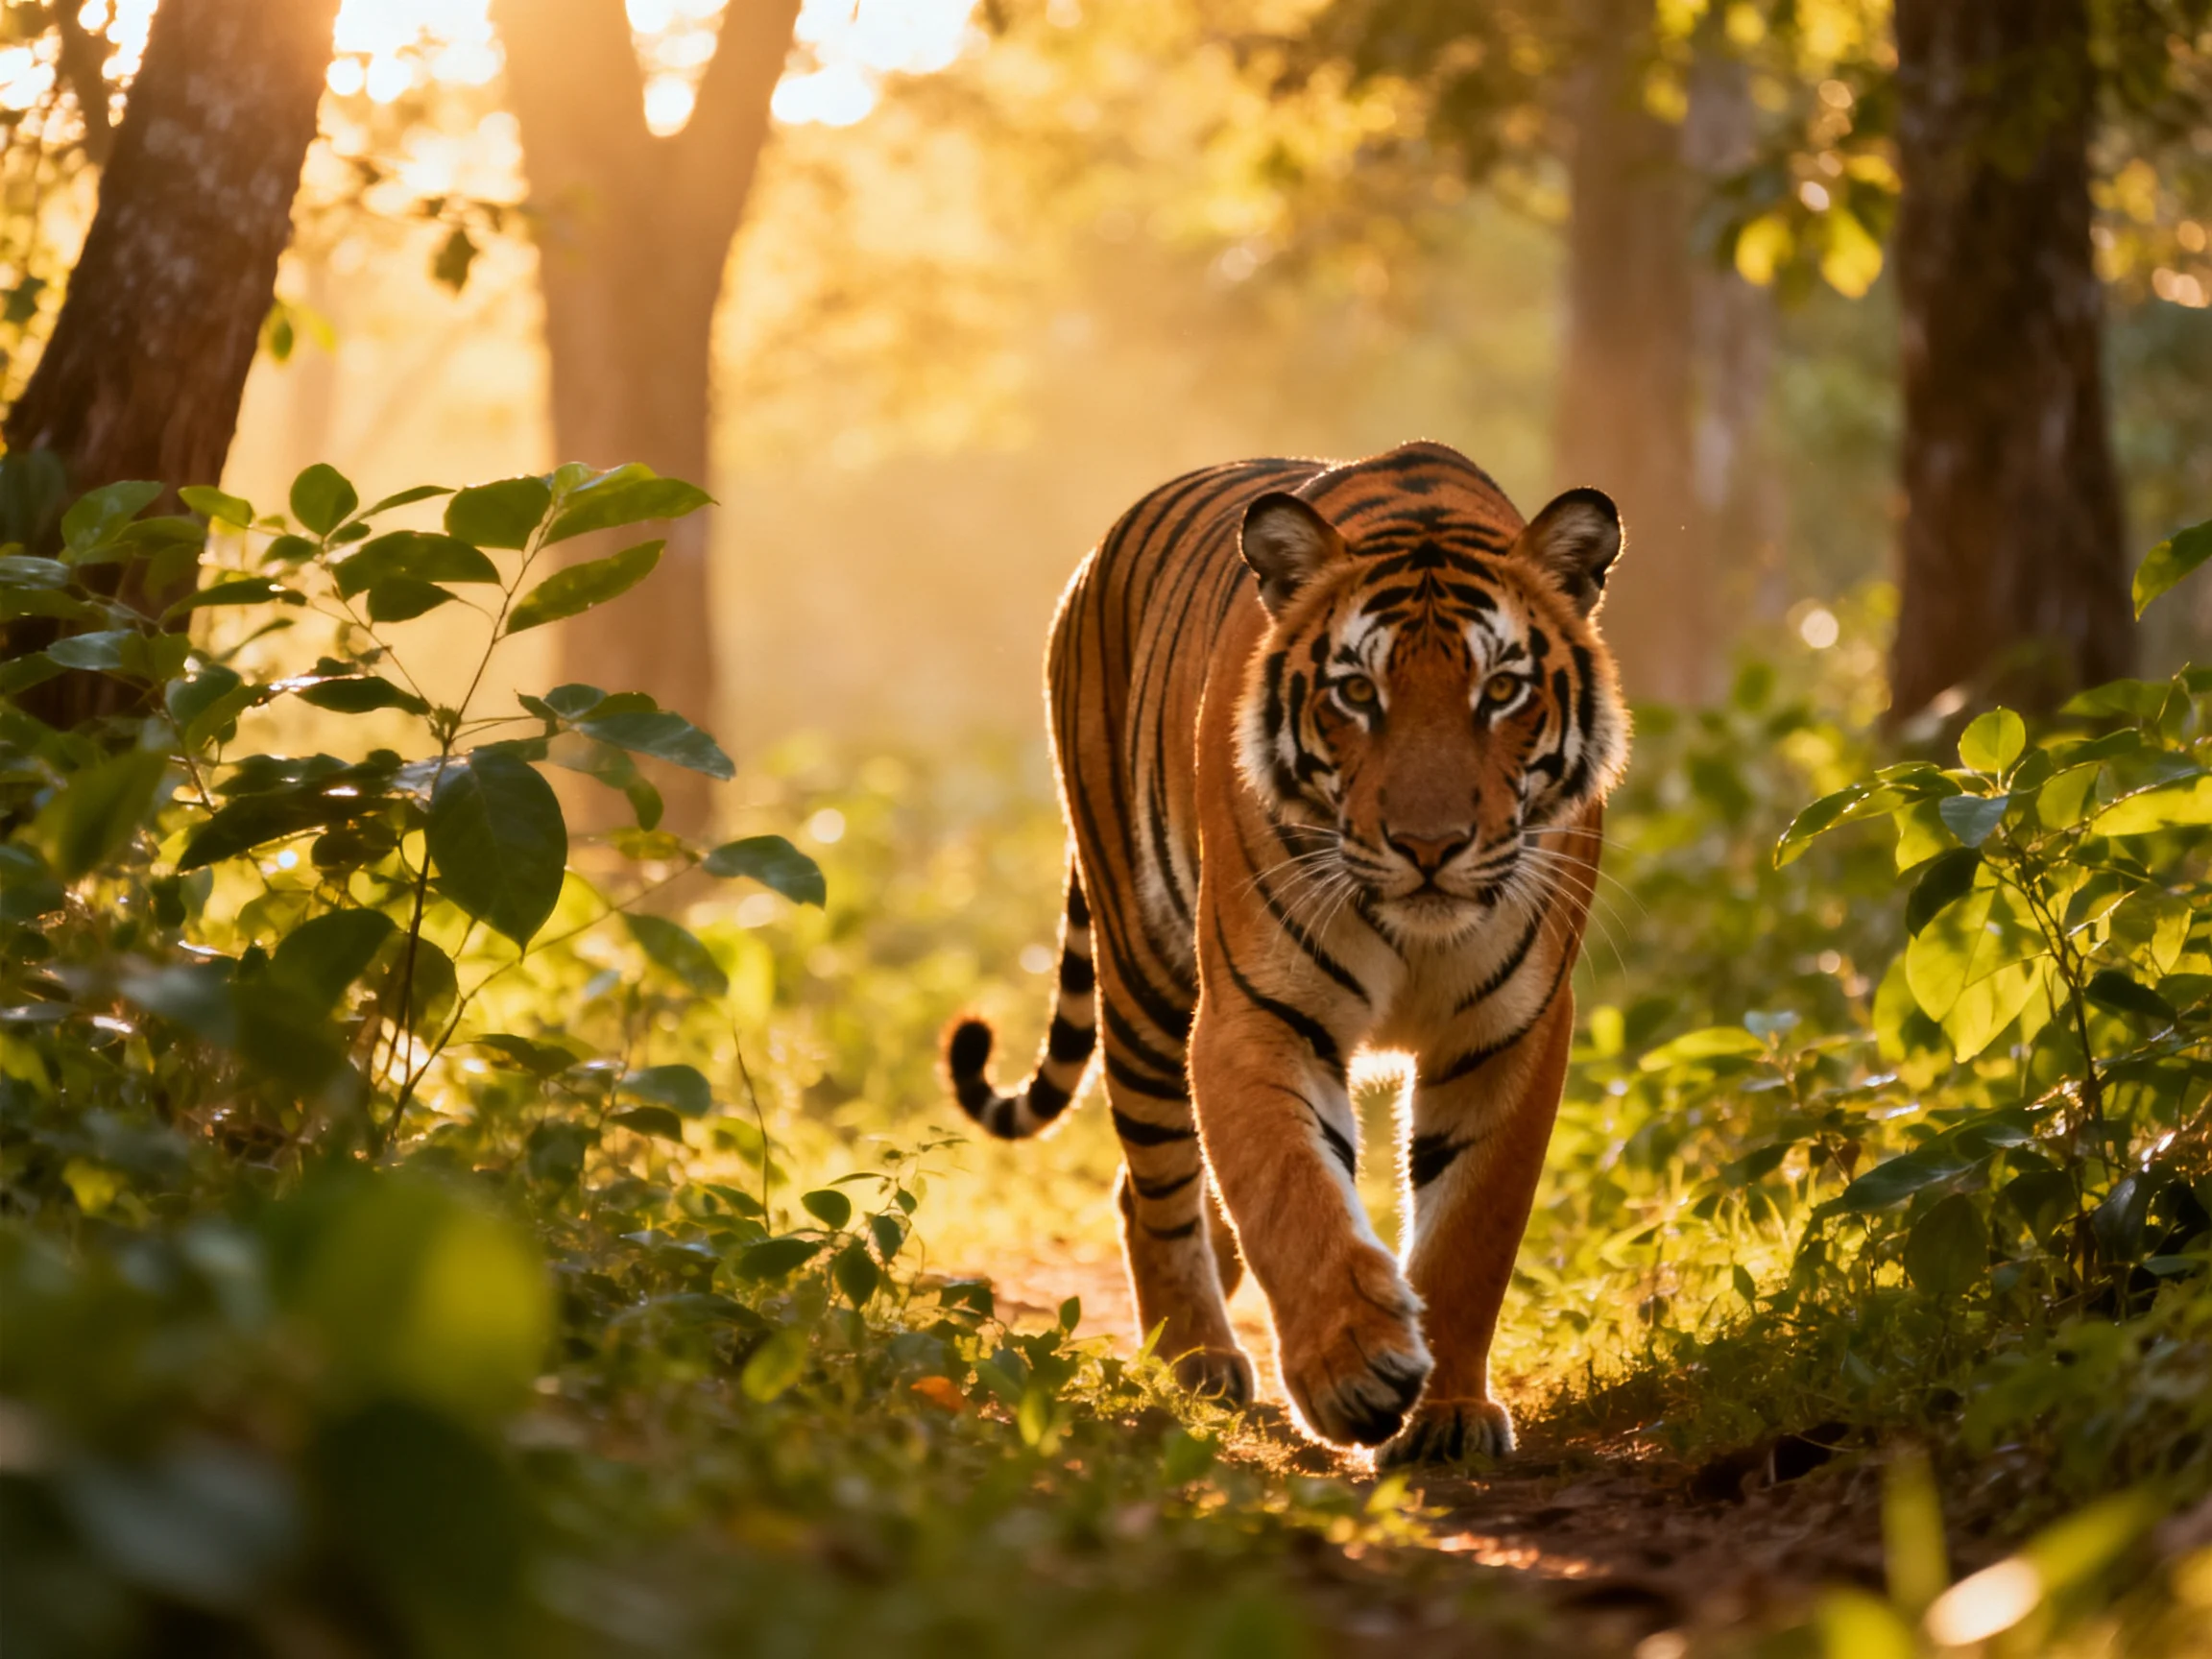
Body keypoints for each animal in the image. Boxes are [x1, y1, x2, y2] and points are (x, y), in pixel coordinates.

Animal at [944, 440, 1627, 1464]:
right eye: (1358, 693)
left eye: (1501, 690)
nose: (1429, 847)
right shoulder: (1256, 1013)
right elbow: (1290, 1189)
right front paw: (1354, 1371)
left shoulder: (1512, 1032)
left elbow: (1472, 1231)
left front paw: (1450, 1413)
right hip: (1142, 972)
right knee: (1150, 1184)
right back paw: (1198, 1359)